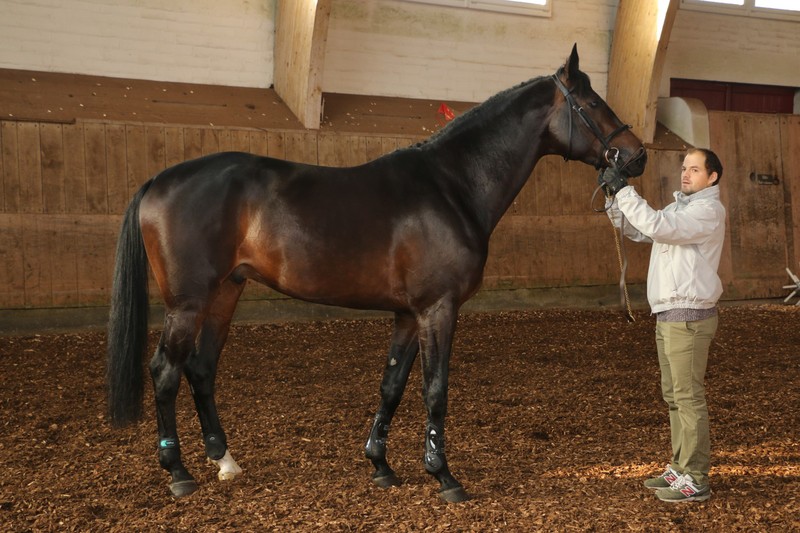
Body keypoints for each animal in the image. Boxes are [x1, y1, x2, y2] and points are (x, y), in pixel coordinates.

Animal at [107, 45, 647, 503]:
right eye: (592, 103)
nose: (636, 155)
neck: (452, 186)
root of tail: (158, 180)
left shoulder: (408, 315)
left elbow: (392, 385)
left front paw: (381, 466)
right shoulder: (437, 309)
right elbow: (435, 389)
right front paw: (444, 475)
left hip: (225, 292)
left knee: (201, 368)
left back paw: (224, 461)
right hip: (188, 303)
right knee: (166, 371)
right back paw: (178, 473)